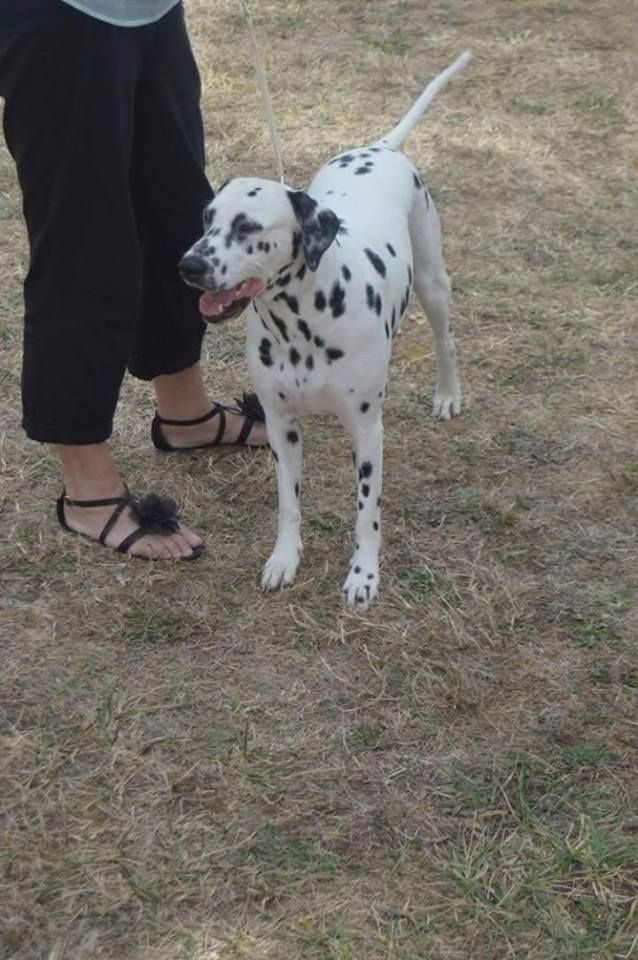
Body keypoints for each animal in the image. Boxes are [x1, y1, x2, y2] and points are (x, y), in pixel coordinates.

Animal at [179, 51, 470, 609]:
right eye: (207, 217)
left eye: (248, 226)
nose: (188, 266)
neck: (301, 325)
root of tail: (380, 147)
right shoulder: (280, 425)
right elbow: (289, 503)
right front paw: (284, 559)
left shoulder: (368, 431)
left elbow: (367, 511)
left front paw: (363, 575)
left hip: (432, 282)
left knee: (445, 340)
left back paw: (447, 394)